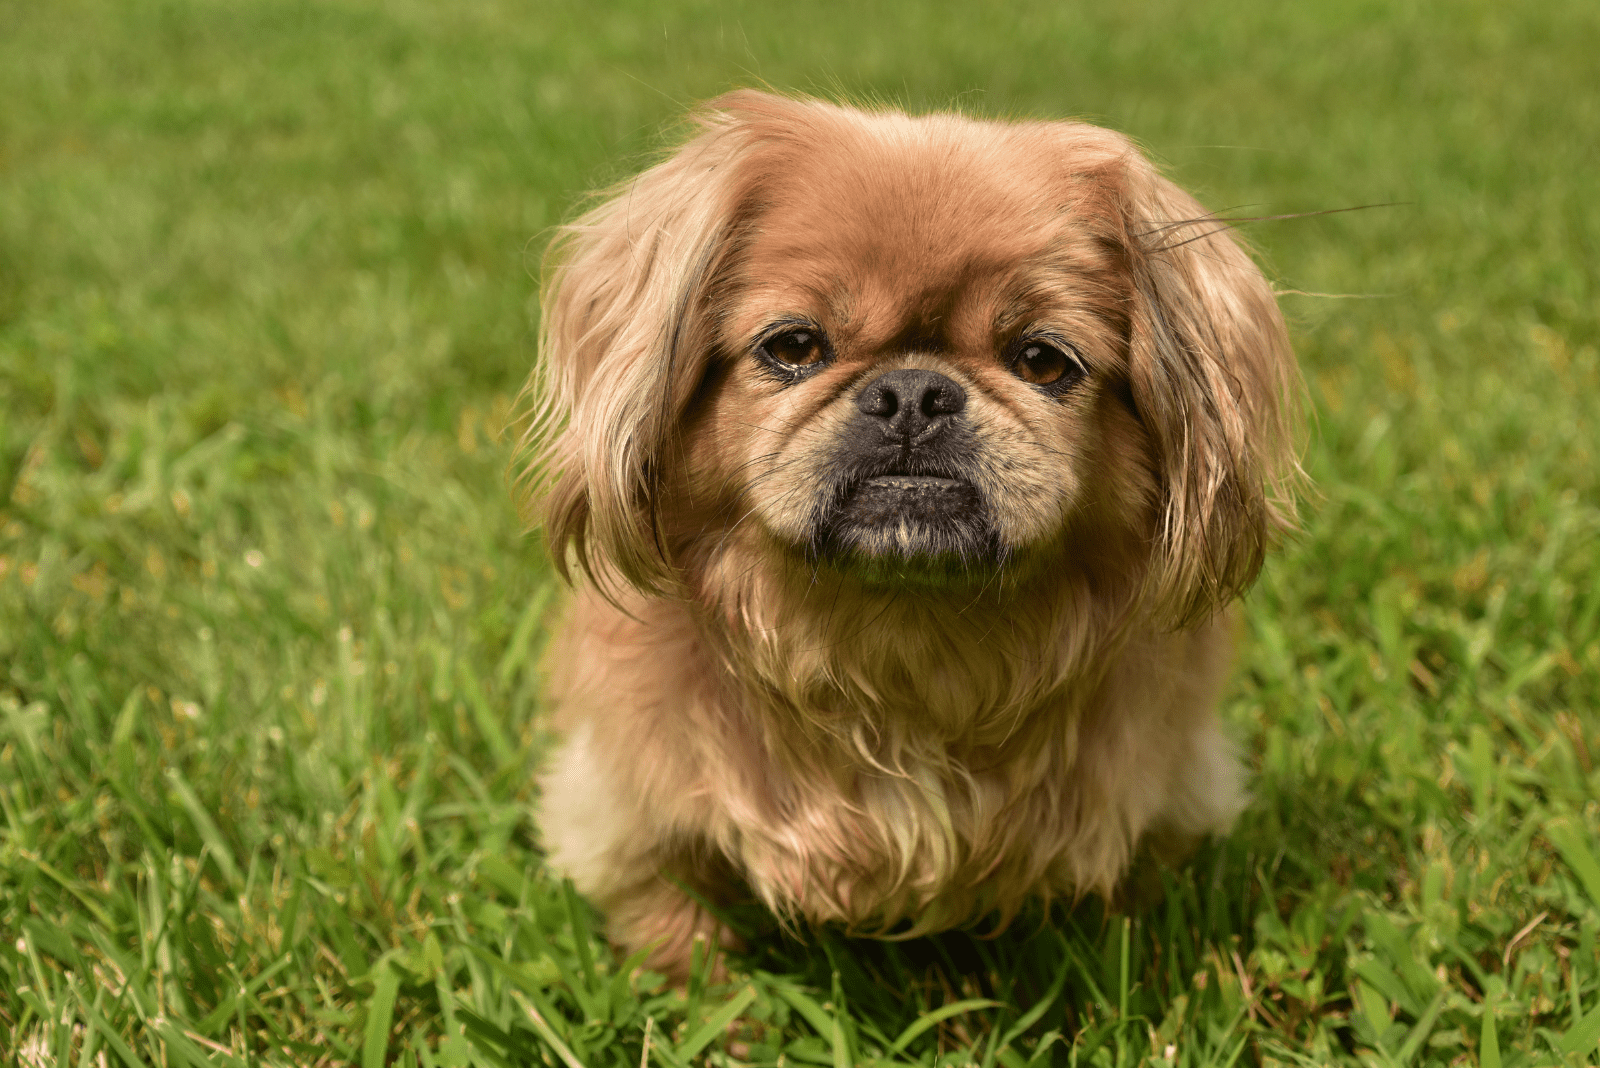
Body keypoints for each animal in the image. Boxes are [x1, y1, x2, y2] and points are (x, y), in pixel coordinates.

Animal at [518, 91, 1305, 978]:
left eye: (1043, 361)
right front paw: (707, 993)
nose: (914, 393)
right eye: (794, 347)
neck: (902, 645)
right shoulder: (630, 815)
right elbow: (673, 917)